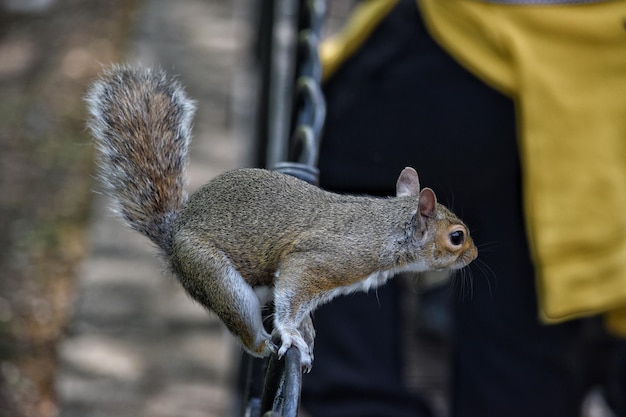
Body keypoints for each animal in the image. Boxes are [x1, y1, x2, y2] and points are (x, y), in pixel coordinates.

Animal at [85, 65, 478, 370]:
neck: (387, 229)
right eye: (456, 237)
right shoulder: (324, 259)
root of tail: (174, 234)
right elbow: (293, 290)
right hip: (213, 274)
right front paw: (292, 333)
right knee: (244, 324)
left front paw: (306, 328)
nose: (474, 255)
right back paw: (264, 344)